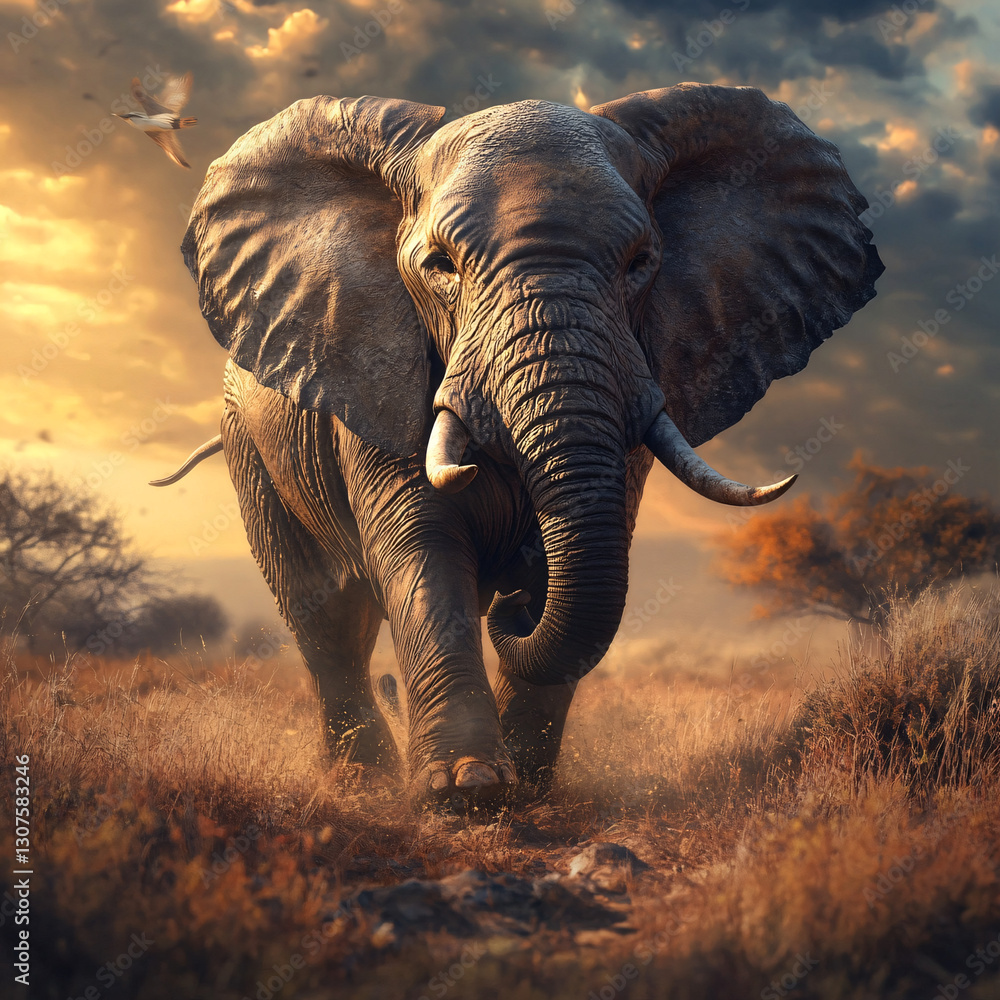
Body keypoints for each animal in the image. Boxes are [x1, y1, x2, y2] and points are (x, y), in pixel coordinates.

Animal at [157, 83, 882, 803]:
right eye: (441, 266)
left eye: (641, 262)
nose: (513, 612)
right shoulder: (375, 376)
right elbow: (423, 546)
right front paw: (464, 788)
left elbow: (579, 549)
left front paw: (527, 787)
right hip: (249, 443)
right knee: (328, 614)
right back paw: (362, 782)